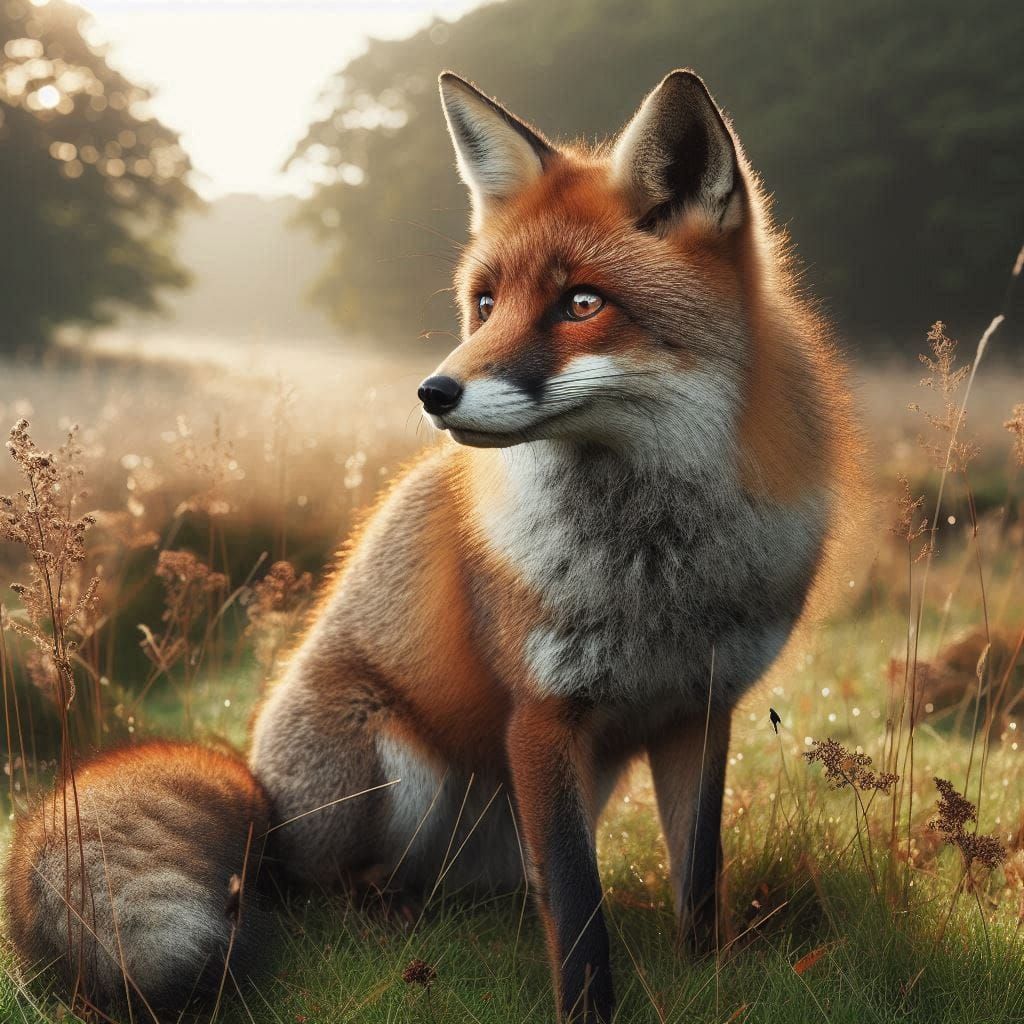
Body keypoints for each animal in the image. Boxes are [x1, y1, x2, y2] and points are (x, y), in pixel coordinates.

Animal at [5, 70, 855, 1022]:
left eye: (582, 303)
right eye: (484, 304)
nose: (433, 392)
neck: (658, 568)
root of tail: (262, 795)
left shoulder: (700, 708)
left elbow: (697, 886)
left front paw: (708, 980)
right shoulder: (542, 715)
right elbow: (579, 913)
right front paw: (588, 1009)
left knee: (503, 891)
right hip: (396, 764)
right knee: (325, 891)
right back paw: (382, 920)